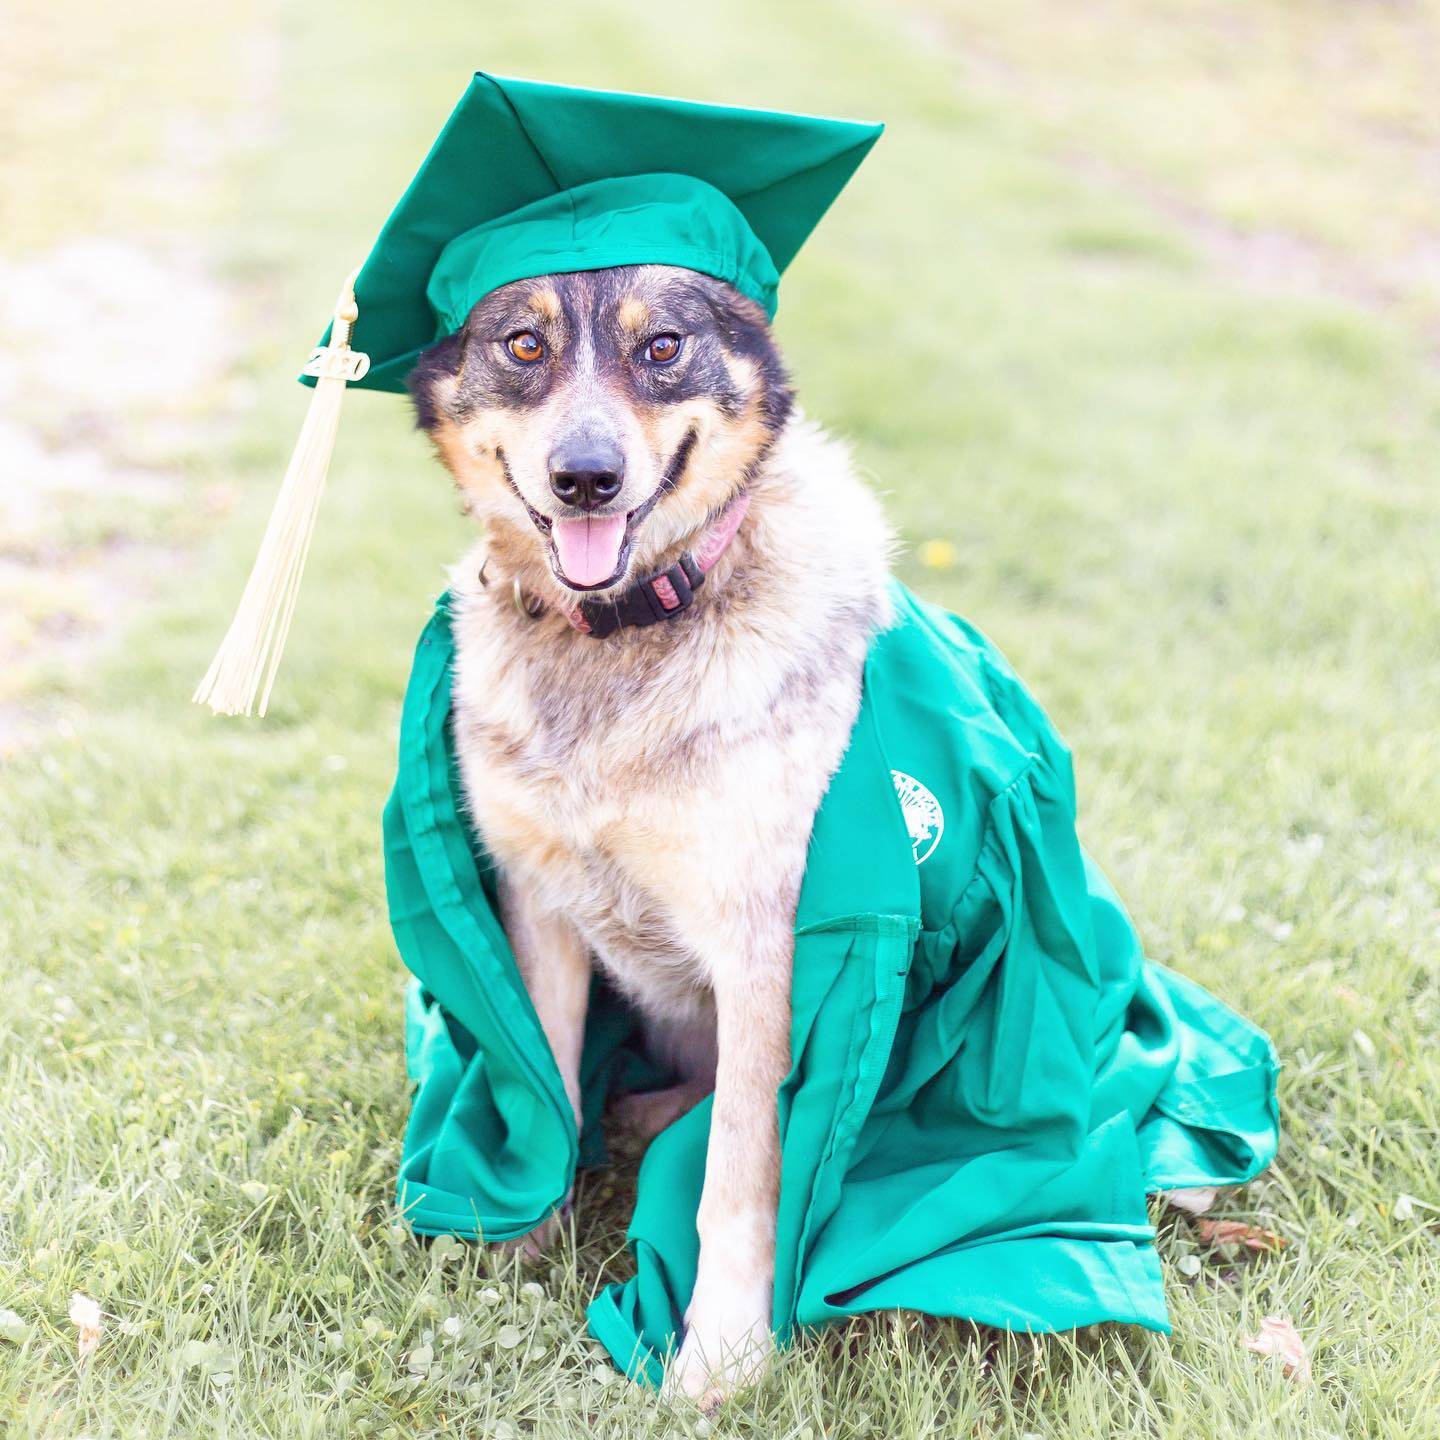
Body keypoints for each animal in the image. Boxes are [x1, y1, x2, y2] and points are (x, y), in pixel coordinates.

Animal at [406, 264, 892, 1399]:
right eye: (525, 345)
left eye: (662, 347)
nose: (585, 479)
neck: (623, 632)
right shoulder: (537, 905)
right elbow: (544, 1084)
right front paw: (523, 1241)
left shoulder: (766, 952)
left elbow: (741, 1179)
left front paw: (723, 1352)